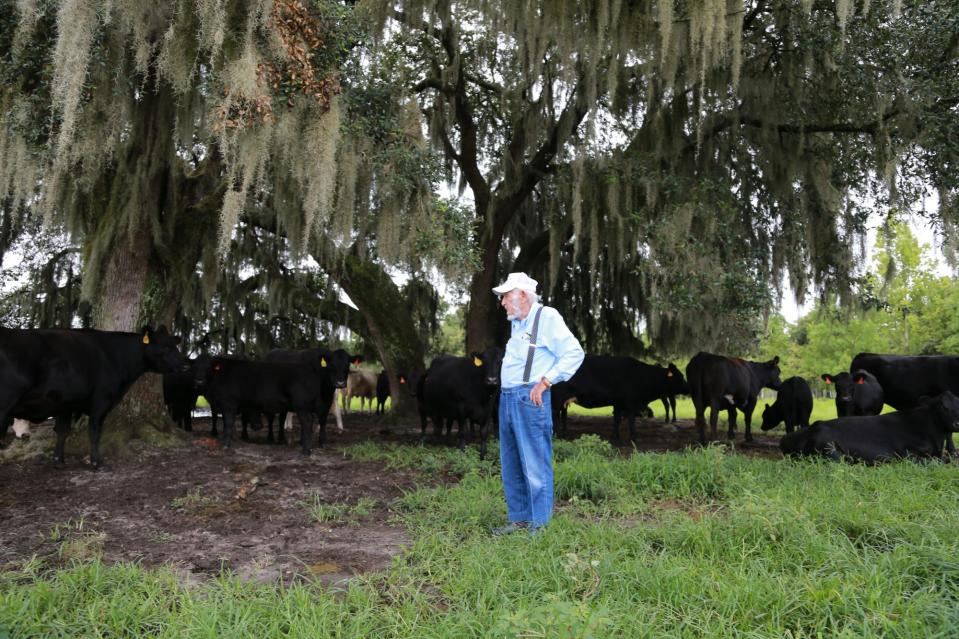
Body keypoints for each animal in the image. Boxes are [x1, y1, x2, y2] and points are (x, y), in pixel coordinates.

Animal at [0, 328, 184, 468]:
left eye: (176, 346)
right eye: (165, 347)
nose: (185, 365)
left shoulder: (66, 404)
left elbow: (62, 431)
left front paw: (59, 461)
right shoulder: (100, 401)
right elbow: (95, 432)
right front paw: (97, 463)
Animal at [548, 358, 688, 442]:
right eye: (680, 376)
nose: (688, 388)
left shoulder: (618, 403)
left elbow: (616, 420)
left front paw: (615, 437)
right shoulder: (631, 402)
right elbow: (631, 421)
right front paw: (633, 438)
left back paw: (563, 435)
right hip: (557, 399)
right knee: (554, 416)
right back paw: (556, 436)